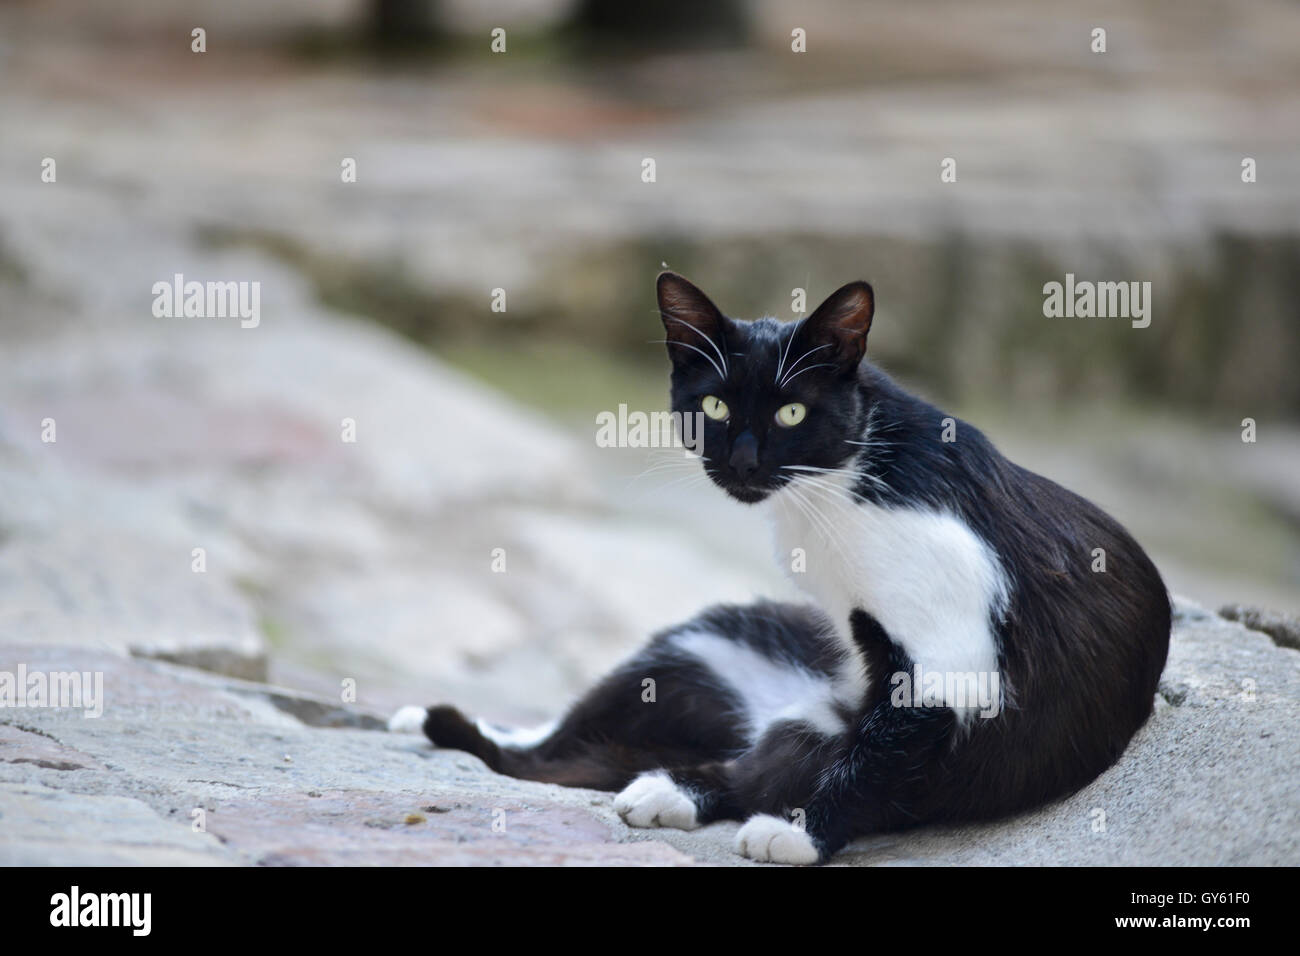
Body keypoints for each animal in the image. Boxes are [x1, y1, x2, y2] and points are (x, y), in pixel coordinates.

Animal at [390, 270, 1175, 868]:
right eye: (711, 404)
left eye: (793, 412)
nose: (742, 462)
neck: (840, 483)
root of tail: (762, 718)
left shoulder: (952, 665)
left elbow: (881, 754)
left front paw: (803, 834)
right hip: (709, 637)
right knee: (569, 741)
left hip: (800, 722)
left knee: (748, 774)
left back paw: (675, 790)